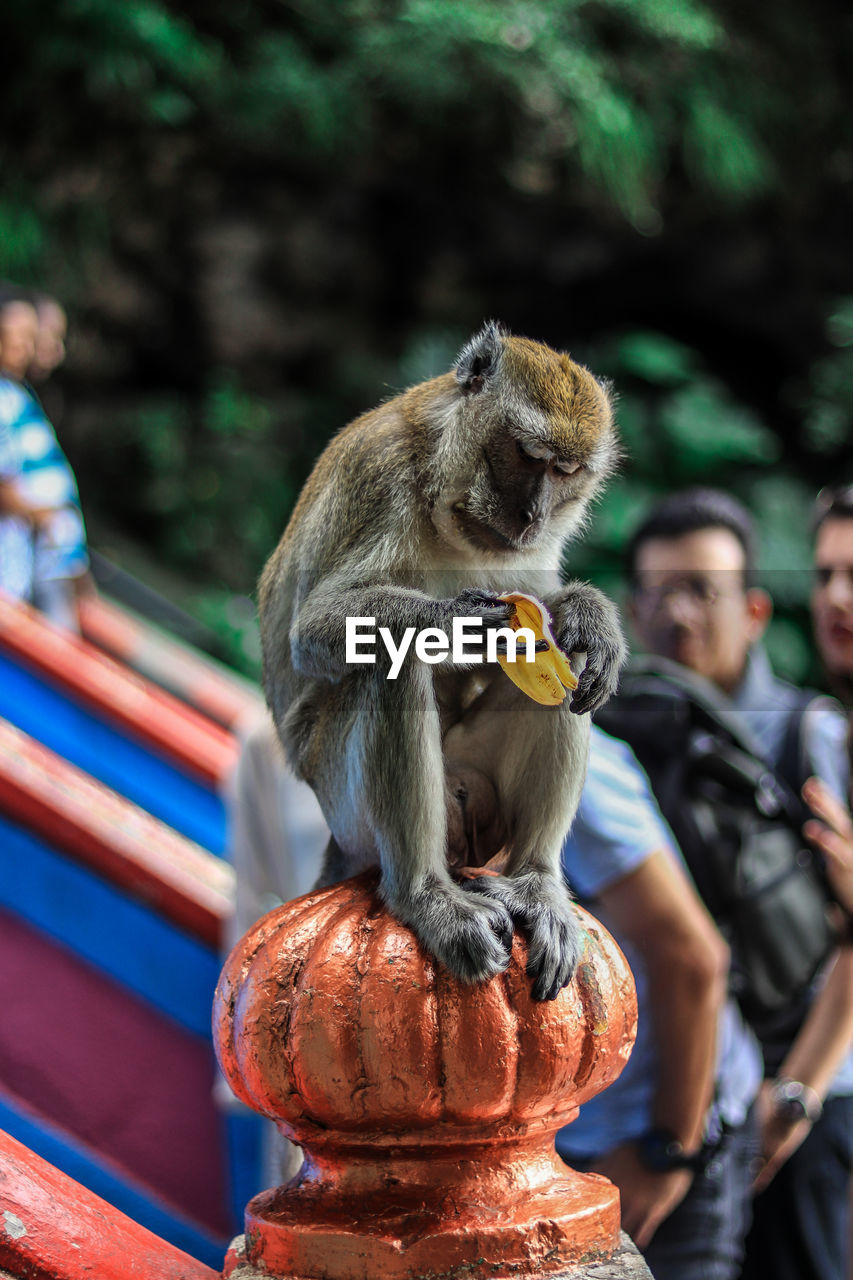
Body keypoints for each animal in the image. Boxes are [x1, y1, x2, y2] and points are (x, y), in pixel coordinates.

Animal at [256, 320, 622, 998]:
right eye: (527, 456)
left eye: (565, 471)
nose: (533, 515)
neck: (442, 489)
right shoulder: (382, 477)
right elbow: (315, 631)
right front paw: (457, 621)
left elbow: (545, 628)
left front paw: (588, 615)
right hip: (344, 807)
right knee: (386, 662)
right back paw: (426, 896)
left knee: (560, 679)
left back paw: (535, 883)